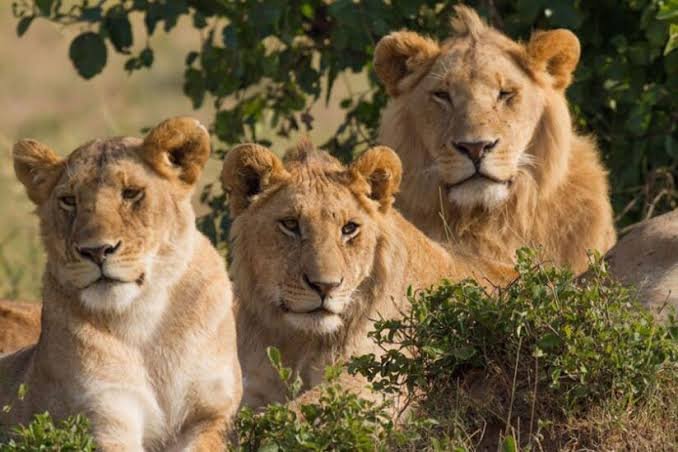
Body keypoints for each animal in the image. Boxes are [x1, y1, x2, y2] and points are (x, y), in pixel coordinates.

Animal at [0, 117, 242, 451]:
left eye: (131, 193)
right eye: (69, 201)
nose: (96, 251)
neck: (145, 319)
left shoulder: (213, 413)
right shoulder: (104, 414)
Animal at [221, 141, 513, 410]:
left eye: (349, 228)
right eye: (290, 225)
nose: (325, 286)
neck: (300, 342)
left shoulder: (376, 380)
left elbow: (295, 412)